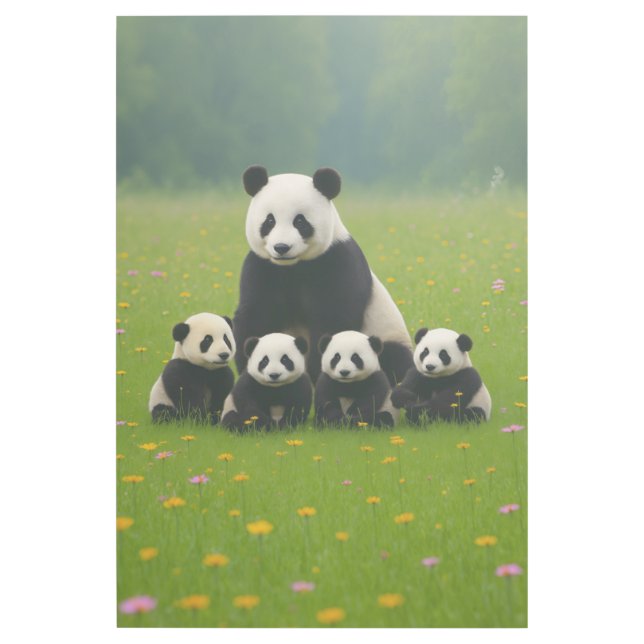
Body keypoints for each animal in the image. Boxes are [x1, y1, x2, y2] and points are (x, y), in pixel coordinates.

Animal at [232, 165, 413, 387]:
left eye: (300, 221)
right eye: (269, 221)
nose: (282, 247)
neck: (293, 265)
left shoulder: (336, 260)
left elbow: (333, 317)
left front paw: (318, 375)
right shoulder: (262, 266)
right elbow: (257, 314)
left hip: (385, 332)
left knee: (394, 356)